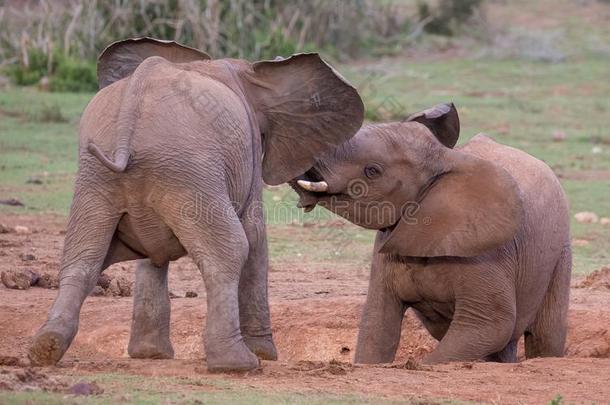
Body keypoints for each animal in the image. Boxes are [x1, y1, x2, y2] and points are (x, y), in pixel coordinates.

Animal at [28, 38, 360, 372]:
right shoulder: (249, 151)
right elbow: (254, 236)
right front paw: (266, 354)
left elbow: (151, 259)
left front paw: (151, 355)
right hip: (188, 169)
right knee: (229, 250)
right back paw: (239, 363)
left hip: (99, 175)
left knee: (82, 257)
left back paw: (45, 349)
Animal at [290, 102, 568, 362]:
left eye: (372, 171)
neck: (443, 159)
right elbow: (377, 325)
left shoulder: (487, 250)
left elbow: (491, 325)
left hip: (560, 250)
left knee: (544, 336)